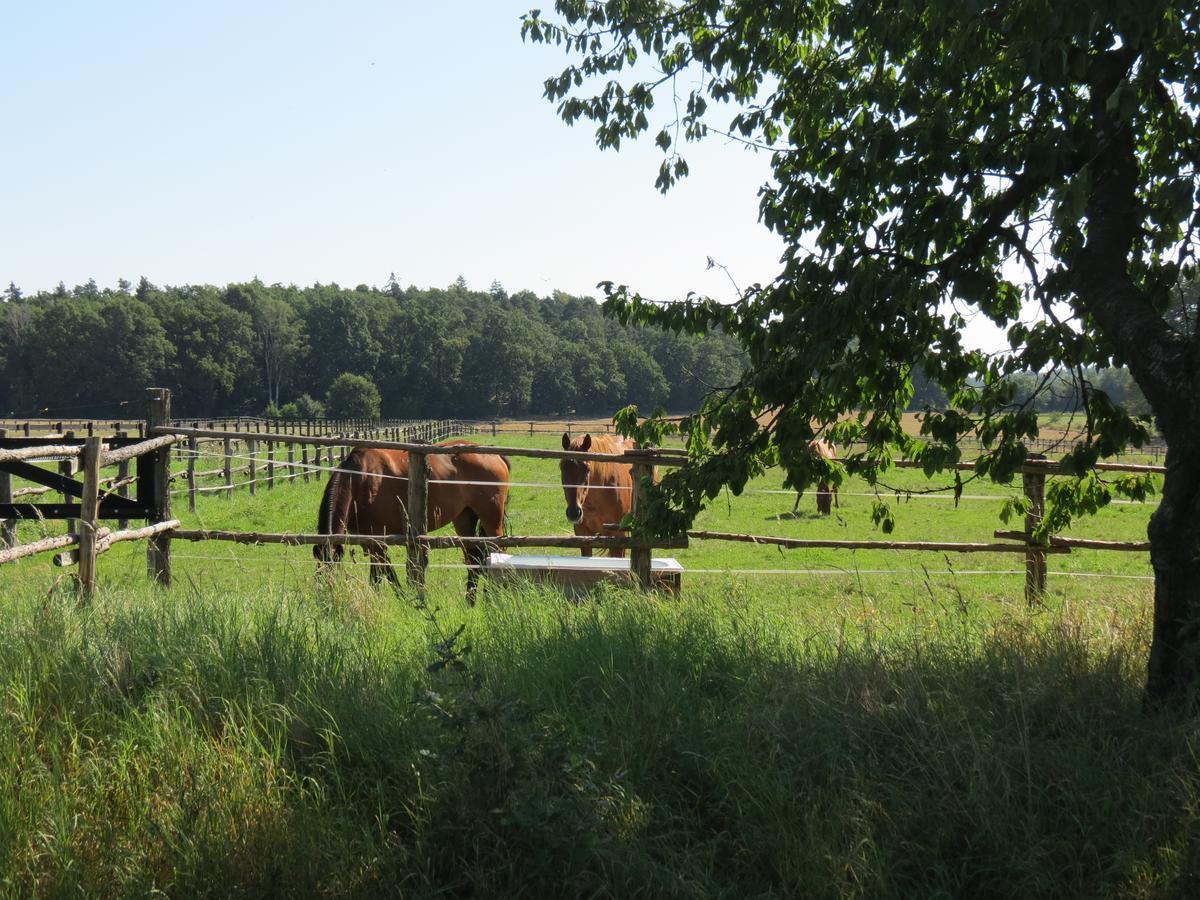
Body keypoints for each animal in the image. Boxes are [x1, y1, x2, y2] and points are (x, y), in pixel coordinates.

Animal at [312, 441, 508, 602]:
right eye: (318, 567)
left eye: (332, 569)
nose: (325, 596)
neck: (360, 479)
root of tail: (495, 456)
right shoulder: (366, 540)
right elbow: (381, 571)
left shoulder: (377, 539)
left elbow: (383, 572)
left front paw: (400, 598)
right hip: (464, 519)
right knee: (474, 558)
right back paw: (471, 601)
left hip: (491, 520)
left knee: (498, 552)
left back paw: (495, 596)